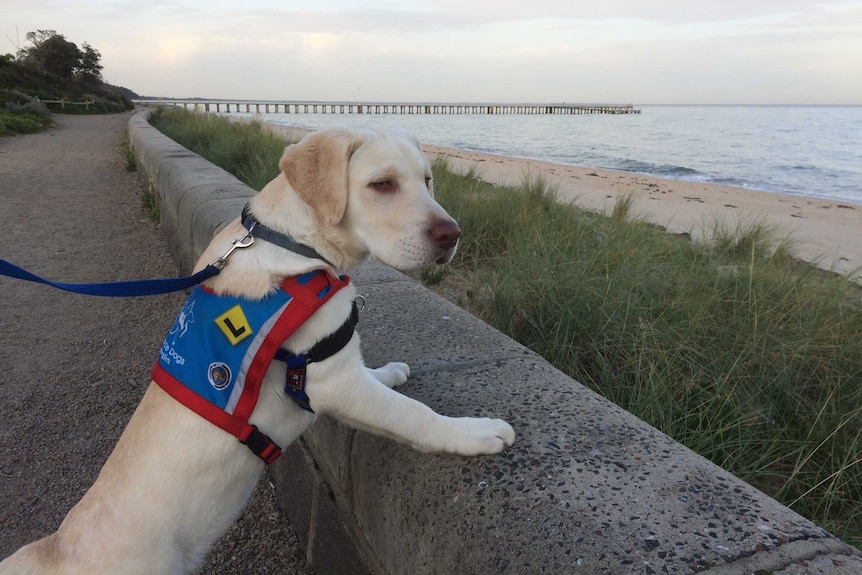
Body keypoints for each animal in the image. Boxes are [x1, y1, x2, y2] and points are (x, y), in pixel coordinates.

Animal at [1, 128, 512, 572]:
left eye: (427, 180)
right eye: (382, 185)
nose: (452, 235)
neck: (298, 247)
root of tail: (55, 549)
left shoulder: (341, 367)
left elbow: (376, 377)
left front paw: (390, 371)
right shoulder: (333, 382)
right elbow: (413, 416)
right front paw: (474, 431)